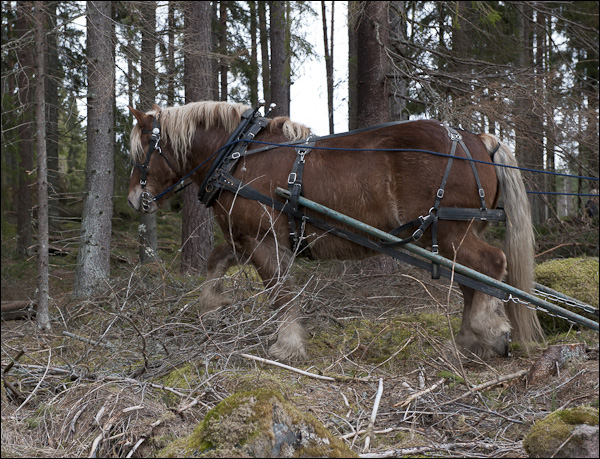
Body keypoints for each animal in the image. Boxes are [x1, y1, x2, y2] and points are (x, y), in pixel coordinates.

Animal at [129, 100, 548, 362]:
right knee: (471, 280)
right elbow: (214, 263)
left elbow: (280, 292)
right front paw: (212, 309)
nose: (135, 198)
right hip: (448, 237)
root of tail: (479, 139)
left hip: (449, 230)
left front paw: (288, 345)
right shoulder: (243, 236)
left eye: (139, 152)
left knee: (490, 266)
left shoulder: (264, 238)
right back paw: (466, 342)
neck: (237, 156)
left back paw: (488, 331)